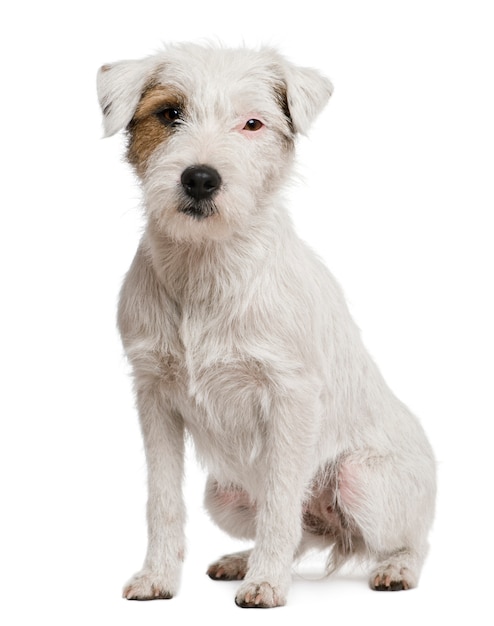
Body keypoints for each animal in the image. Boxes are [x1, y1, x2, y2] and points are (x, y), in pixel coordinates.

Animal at [96, 42, 436, 604]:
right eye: (169, 113)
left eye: (252, 123)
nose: (200, 177)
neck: (206, 268)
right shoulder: (154, 399)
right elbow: (163, 500)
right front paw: (157, 577)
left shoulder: (290, 399)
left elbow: (279, 502)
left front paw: (267, 585)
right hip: (224, 494)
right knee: (303, 531)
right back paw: (242, 560)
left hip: (360, 479)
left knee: (408, 538)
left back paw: (395, 568)